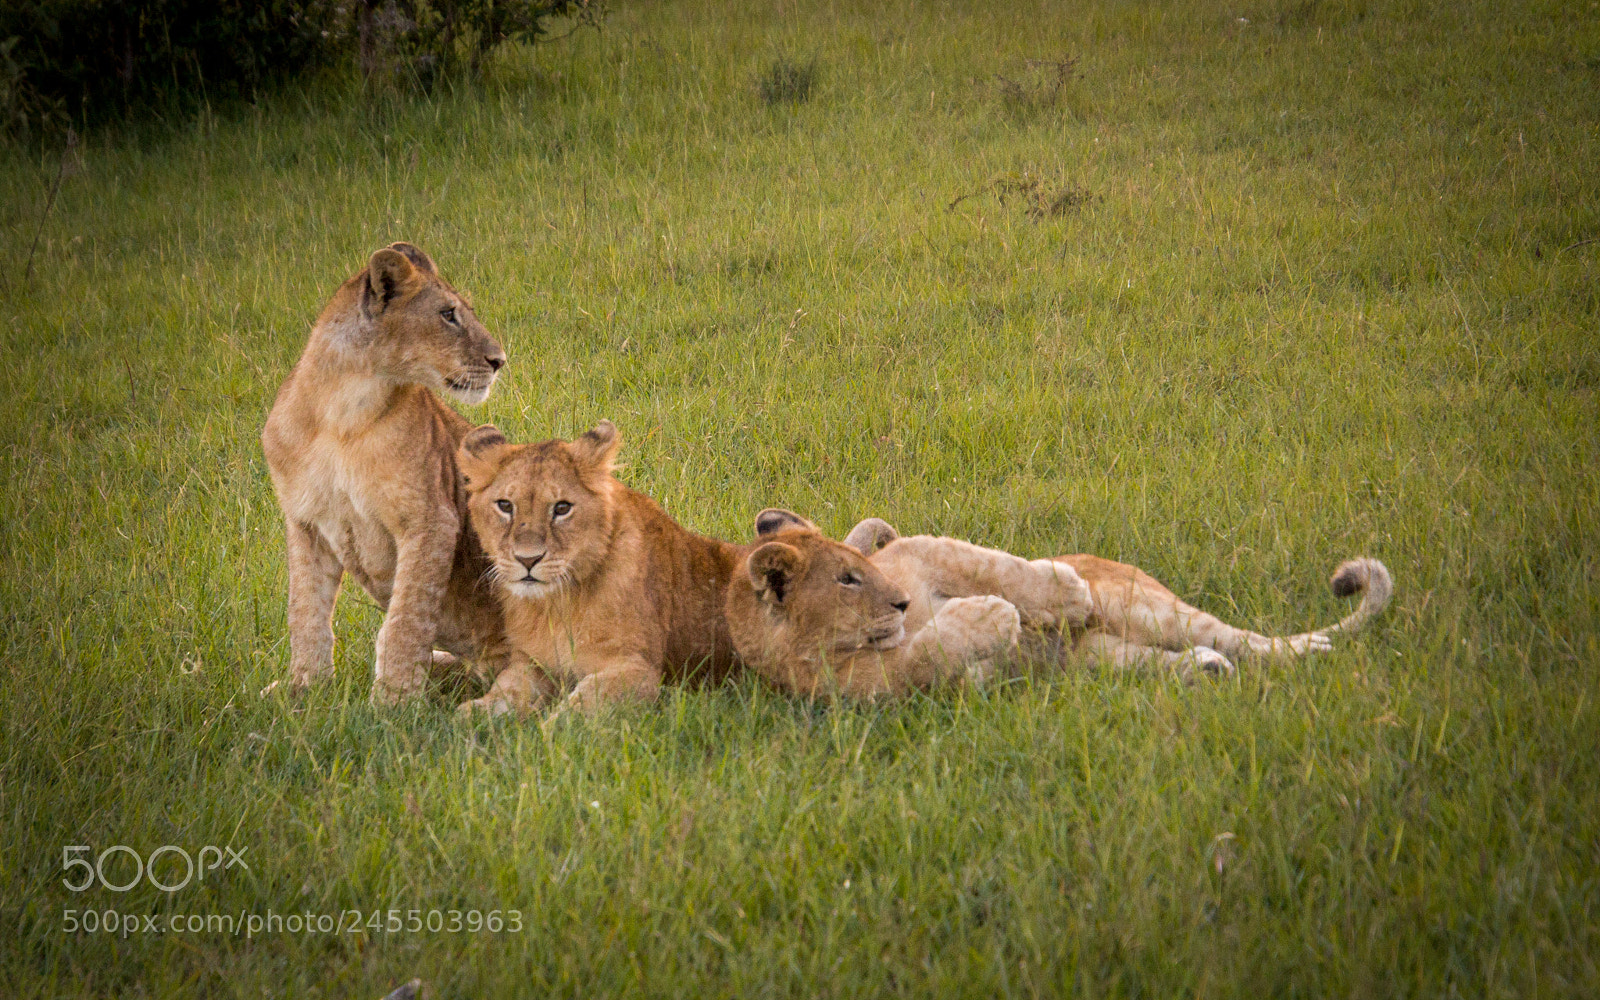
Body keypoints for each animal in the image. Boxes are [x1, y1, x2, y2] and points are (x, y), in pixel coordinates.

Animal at [261, 242, 510, 705]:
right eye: (448, 314)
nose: (499, 360)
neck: (341, 412)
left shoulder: (431, 518)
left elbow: (406, 618)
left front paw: (393, 702)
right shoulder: (304, 522)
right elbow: (305, 612)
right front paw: (304, 689)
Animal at [725, 515, 1094, 698]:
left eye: (863, 566)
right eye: (846, 580)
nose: (904, 601)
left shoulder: (921, 551)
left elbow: (995, 567)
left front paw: (1071, 593)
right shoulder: (884, 686)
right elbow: (928, 653)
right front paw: (991, 616)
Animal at [841, 517, 1393, 680]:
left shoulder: (928, 552)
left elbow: (990, 568)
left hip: (1146, 609)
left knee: (1249, 641)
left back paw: (1310, 653)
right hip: (1100, 657)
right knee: (1180, 657)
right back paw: (1206, 670)